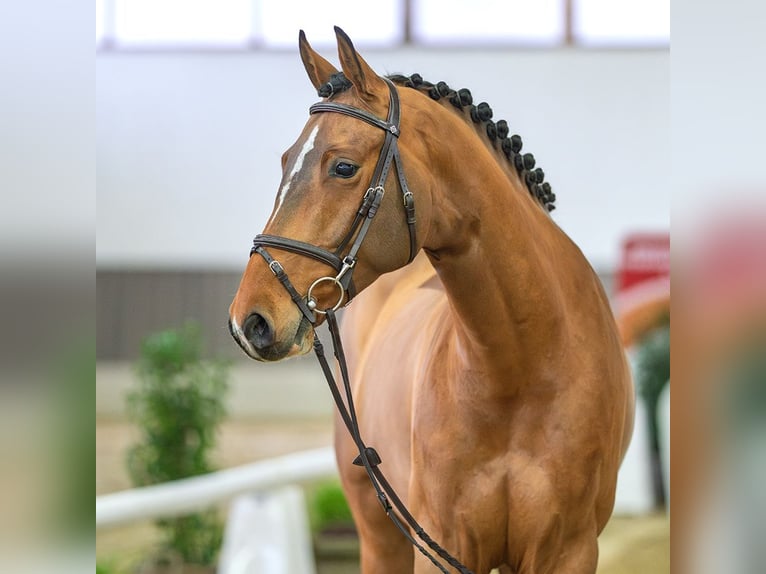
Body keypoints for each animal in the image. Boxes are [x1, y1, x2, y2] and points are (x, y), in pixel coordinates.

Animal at [229, 27, 634, 574]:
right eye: (285, 161)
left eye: (343, 166)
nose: (249, 321)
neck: (521, 367)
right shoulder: (444, 543)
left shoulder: (569, 550)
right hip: (379, 532)